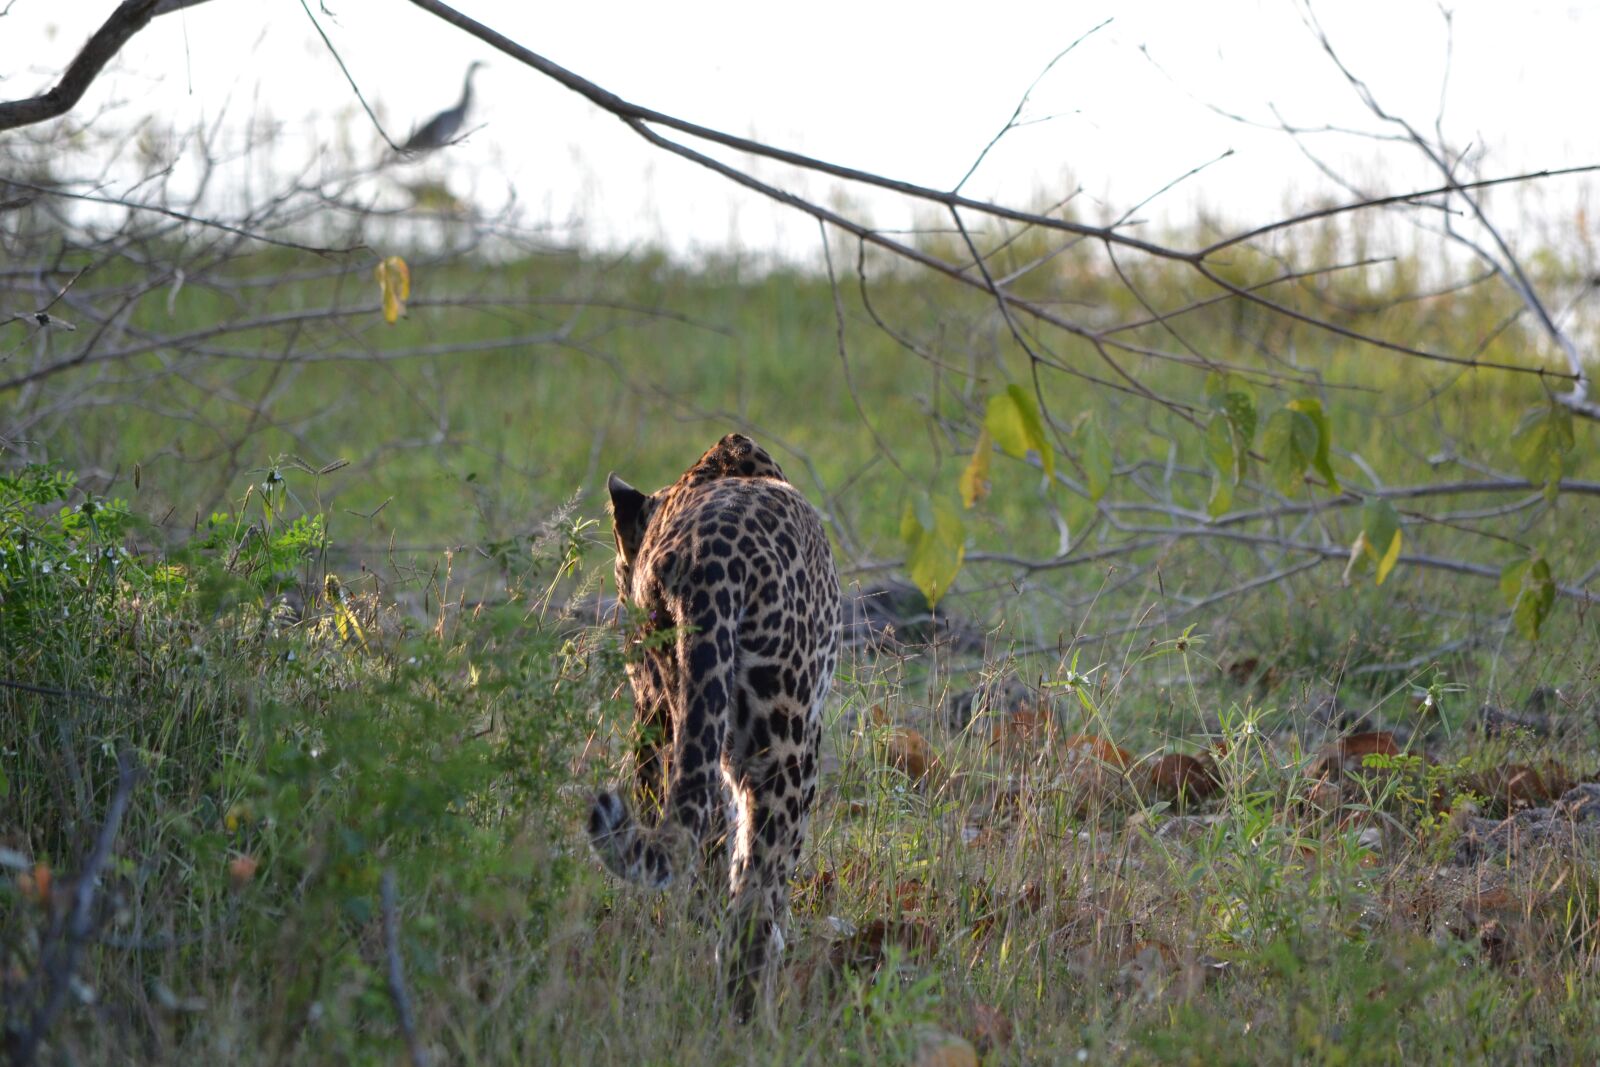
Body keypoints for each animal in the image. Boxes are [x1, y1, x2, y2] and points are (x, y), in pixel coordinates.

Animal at [588, 433, 841, 1017]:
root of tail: (708, 564)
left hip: (683, 715)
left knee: (698, 846)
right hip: (786, 747)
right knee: (755, 896)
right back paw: (748, 1015)